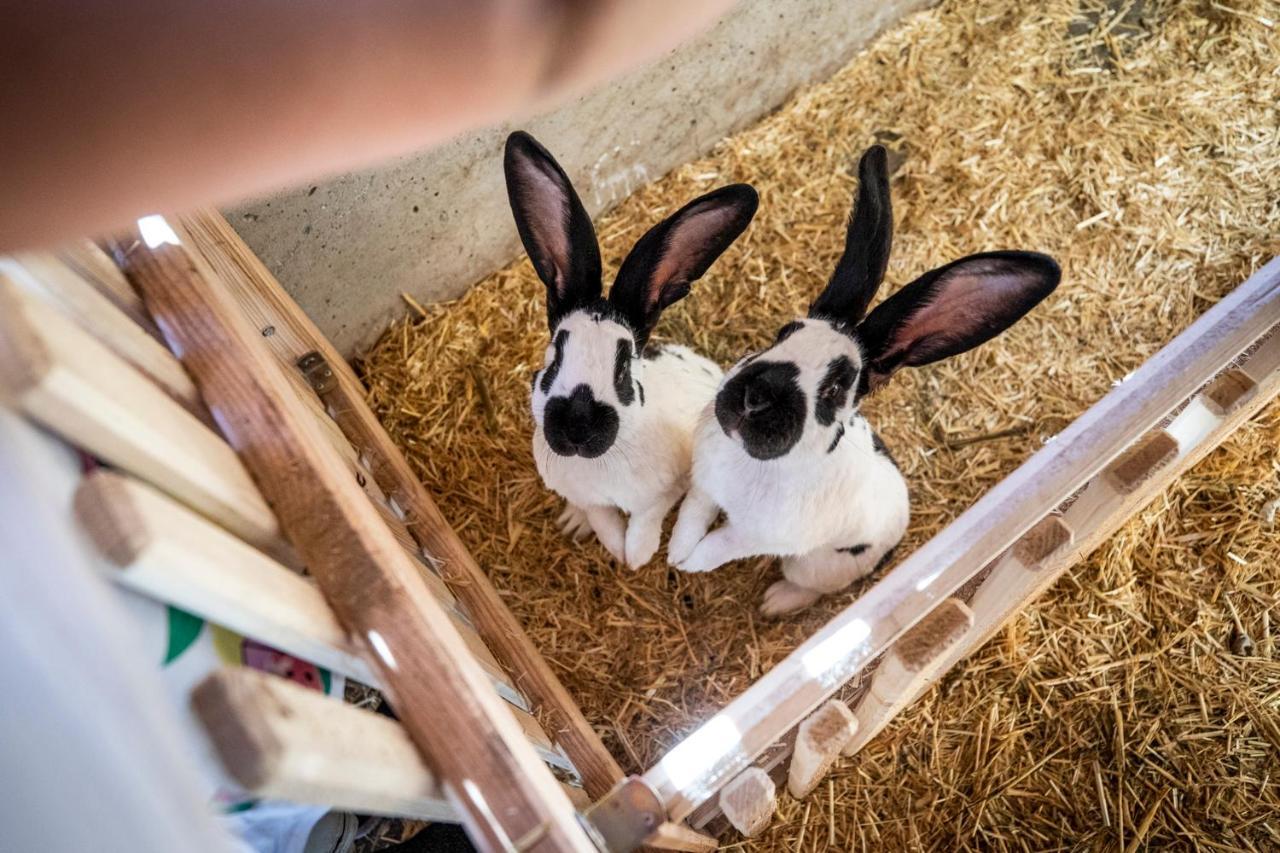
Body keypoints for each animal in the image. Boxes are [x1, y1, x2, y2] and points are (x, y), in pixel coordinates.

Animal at [501, 131, 757, 563]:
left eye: (623, 365)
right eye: (555, 356)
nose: (577, 428)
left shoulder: (665, 489)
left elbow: (642, 527)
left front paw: (635, 554)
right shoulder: (585, 494)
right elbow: (601, 517)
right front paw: (604, 538)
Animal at [670, 144, 1059, 612]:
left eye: (838, 386)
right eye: (783, 334)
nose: (755, 397)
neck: (751, 460)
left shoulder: (756, 536)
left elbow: (721, 544)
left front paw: (692, 564)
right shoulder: (705, 485)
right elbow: (693, 515)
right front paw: (675, 554)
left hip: (815, 565)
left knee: (808, 586)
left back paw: (775, 602)